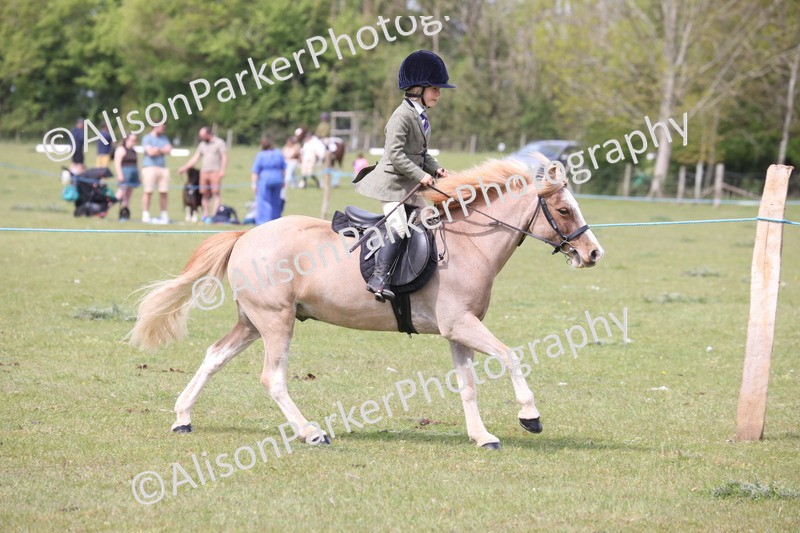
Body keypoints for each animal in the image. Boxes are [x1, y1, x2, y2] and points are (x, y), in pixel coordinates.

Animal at [129, 156, 604, 449]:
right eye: (564, 210)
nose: (594, 254)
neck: (469, 243)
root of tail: (246, 234)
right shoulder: (462, 325)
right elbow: (511, 356)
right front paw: (530, 416)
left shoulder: (458, 331)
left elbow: (468, 385)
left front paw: (482, 436)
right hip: (276, 322)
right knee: (272, 378)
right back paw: (311, 433)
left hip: (253, 321)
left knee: (213, 357)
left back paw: (182, 417)